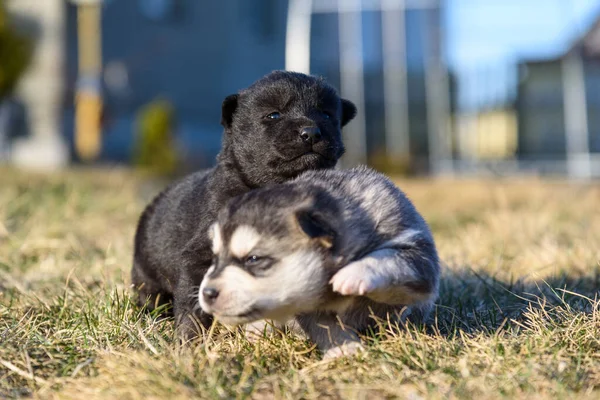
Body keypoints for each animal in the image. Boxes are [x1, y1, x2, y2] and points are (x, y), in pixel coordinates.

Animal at [132, 71, 356, 338]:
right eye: (274, 115)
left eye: (326, 114)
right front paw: (189, 341)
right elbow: (194, 303)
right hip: (146, 272)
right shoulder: (199, 256)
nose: (311, 132)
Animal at [199, 166, 438, 360]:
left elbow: (389, 258)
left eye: (253, 259)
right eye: (215, 258)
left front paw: (354, 274)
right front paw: (344, 350)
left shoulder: (418, 254)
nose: (207, 293)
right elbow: (324, 325)